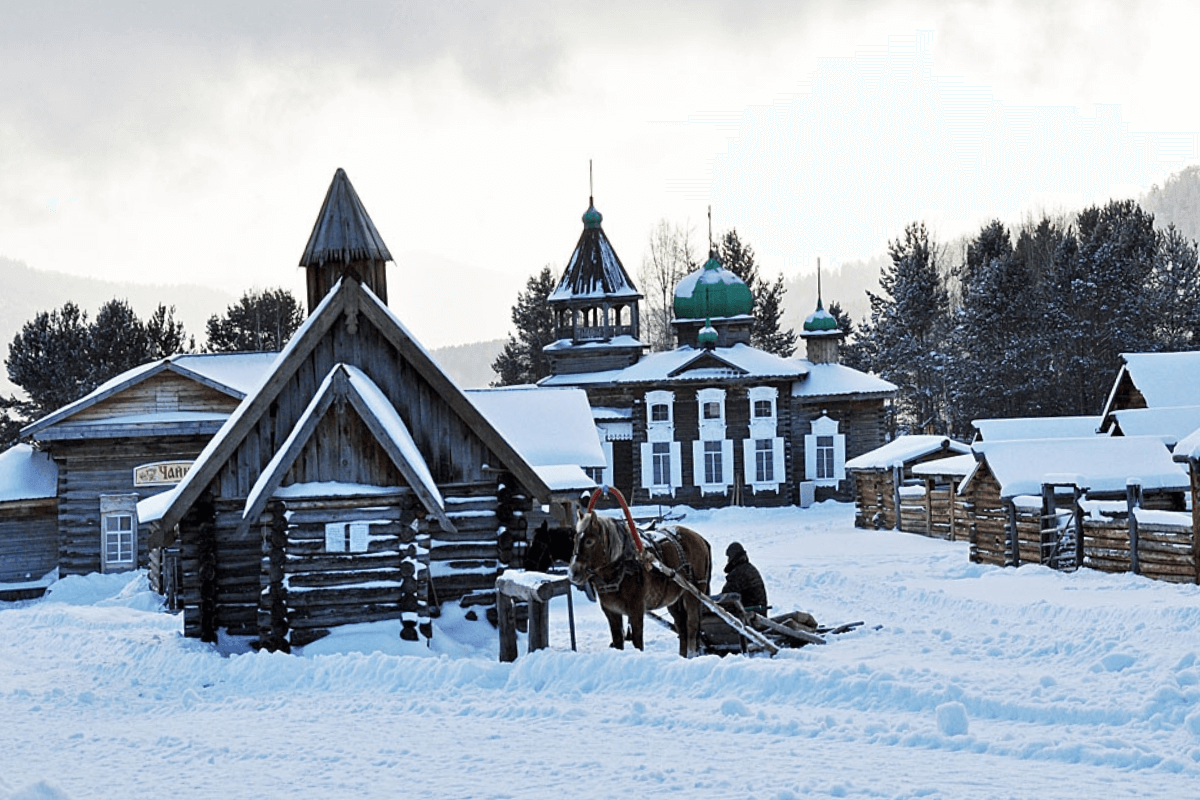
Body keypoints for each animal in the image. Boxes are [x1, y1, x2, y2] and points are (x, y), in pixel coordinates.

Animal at [564, 513, 705, 657]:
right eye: (575, 539)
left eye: (589, 541)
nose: (573, 573)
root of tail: (700, 538)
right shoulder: (611, 611)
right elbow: (618, 641)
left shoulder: (636, 610)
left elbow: (637, 642)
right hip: (674, 600)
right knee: (682, 628)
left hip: (693, 593)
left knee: (692, 626)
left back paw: (691, 654)